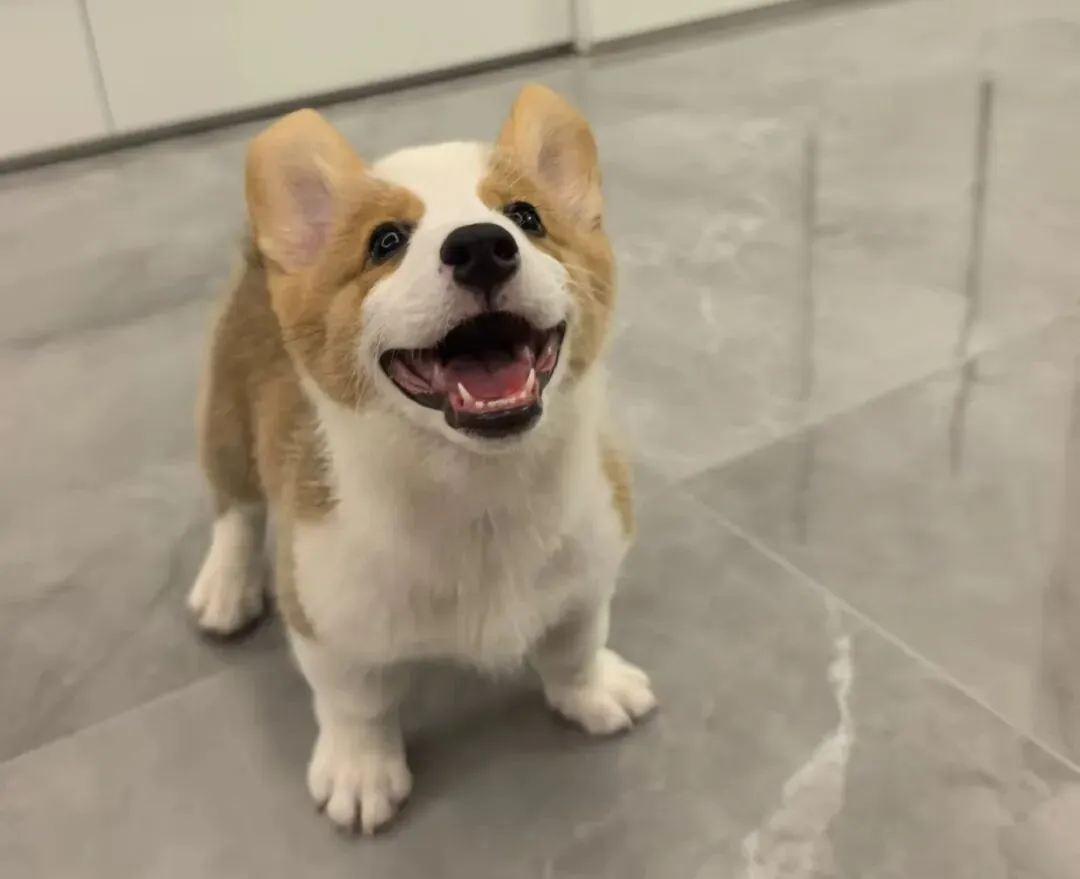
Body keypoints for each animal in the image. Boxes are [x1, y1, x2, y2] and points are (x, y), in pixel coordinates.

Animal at [186, 84, 656, 835]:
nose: (482, 247)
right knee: (235, 506)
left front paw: (592, 692)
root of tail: (260, 253)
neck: (480, 493)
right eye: (386, 241)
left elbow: (575, 644)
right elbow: (356, 705)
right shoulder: (327, 624)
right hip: (227, 415)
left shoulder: (588, 574)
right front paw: (360, 774)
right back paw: (226, 588)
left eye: (526, 217)